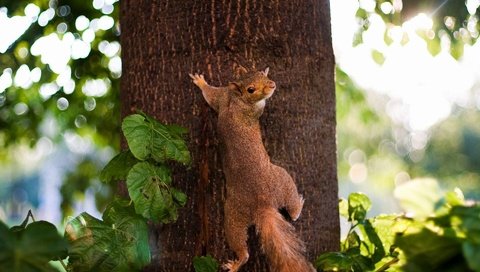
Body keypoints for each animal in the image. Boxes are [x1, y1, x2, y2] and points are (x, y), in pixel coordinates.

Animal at [189, 68, 316, 272]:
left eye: (263, 75)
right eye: (251, 89)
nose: (272, 85)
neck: (237, 100)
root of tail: (262, 203)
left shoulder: (222, 97)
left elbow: (211, 96)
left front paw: (201, 82)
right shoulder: (246, 105)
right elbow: (212, 95)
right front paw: (201, 82)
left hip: (233, 219)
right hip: (280, 180)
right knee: (292, 212)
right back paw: (299, 205)